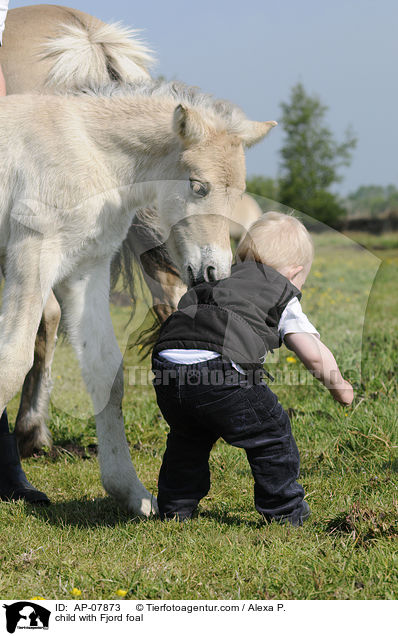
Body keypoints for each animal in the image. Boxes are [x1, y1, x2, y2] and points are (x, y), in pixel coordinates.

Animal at [0, 3, 276, 516]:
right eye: (198, 185)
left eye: (240, 192)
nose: (214, 271)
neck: (86, 150)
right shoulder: (32, 254)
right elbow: (11, 361)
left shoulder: (84, 268)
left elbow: (105, 371)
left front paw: (131, 492)